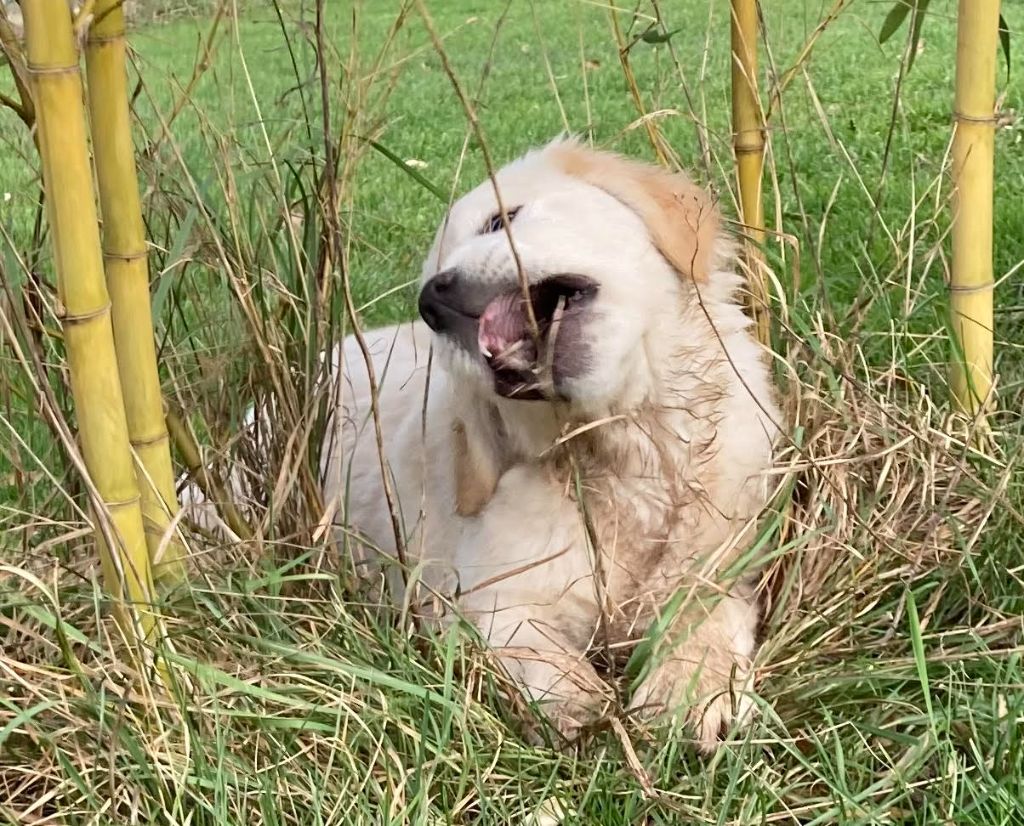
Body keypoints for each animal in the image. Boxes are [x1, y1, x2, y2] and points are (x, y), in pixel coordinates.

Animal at [317, 139, 774, 753]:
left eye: (500, 220)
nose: (433, 300)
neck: (627, 447)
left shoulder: (730, 562)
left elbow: (707, 612)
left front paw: (690, 689)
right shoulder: (476, 597)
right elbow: (527, 646)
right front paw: (578, 704)